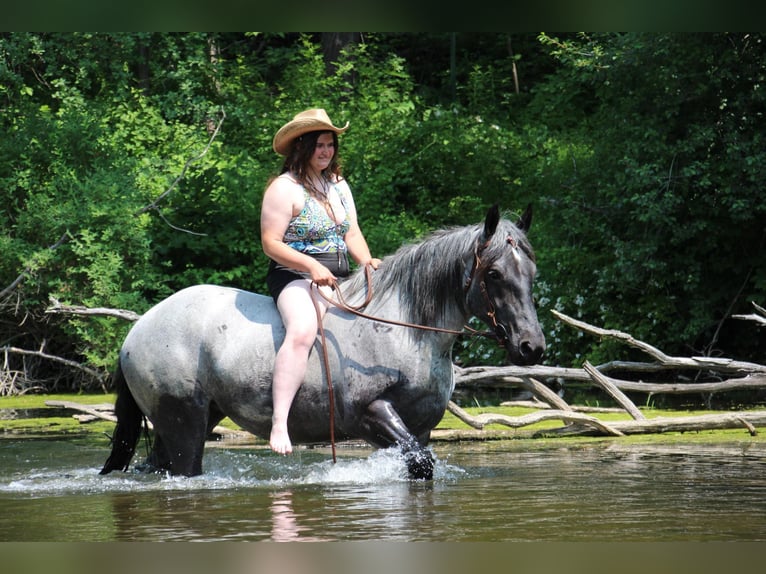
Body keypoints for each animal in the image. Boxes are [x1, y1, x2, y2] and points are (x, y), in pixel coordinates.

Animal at [100, 205, 544, 484]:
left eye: (532, 272)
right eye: (494, 274)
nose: (532, 347)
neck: (405, 330)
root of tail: (138, 330)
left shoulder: (420, 429)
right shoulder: (372, 414)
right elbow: (420, 465)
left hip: (191, 421)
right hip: (184, 425)